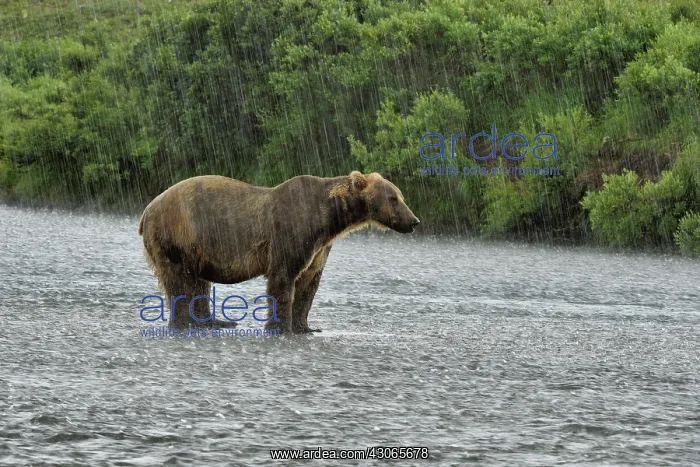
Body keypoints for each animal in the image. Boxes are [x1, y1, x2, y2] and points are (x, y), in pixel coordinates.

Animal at [138, 171, 420, 334]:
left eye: (401, 196)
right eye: (393, 198)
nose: (414, 221)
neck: (329, 219)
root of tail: (147, 209)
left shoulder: (320, 248)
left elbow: (309, 284)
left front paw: (305, 326)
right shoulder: (291, 233)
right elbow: (283, 279)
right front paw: (281, 325)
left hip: (197, 247)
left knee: (198, 281)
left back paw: (212, 320)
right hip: (177, 235)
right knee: (178, 280)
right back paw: (186, 321)